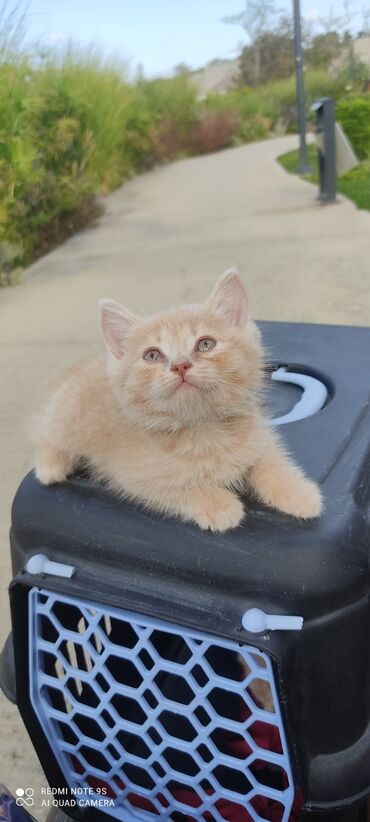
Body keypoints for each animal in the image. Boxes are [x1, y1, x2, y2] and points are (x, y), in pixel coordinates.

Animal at [35, 272, 324, 536]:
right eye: (152, 355)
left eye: (205, 344)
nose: (180, 364)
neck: (204, 431)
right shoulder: (132, 475)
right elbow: (176, 487)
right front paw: (218, 504)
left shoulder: (258, 439)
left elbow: (270, 462)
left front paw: (298, 492)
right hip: (65, 418)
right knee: (45, 432)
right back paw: (50, 466)